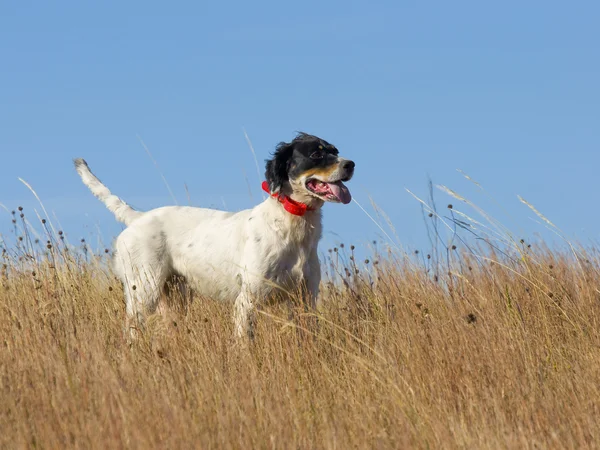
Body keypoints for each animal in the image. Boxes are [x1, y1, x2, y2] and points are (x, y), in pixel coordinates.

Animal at [75, 133, 356, 338]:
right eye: (316, 153)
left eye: (335, 151)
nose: (350, 164)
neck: (293, 227)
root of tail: (138, 217)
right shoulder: (247, 301)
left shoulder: (305, 300)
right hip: (144, 291)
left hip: (174, 298)